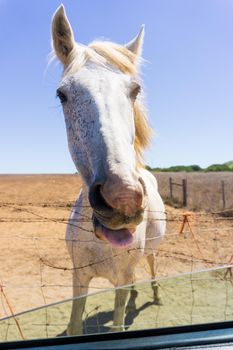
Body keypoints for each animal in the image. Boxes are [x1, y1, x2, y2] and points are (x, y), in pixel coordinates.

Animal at [52, 4, 167, 334]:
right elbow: (75, 325)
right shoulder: (79, 277)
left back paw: (154, 296)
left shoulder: (119, 280)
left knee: (152, 265)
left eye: (135, 90)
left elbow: (117, 326)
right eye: (62, 94)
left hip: (151, 251)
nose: (123, 198)